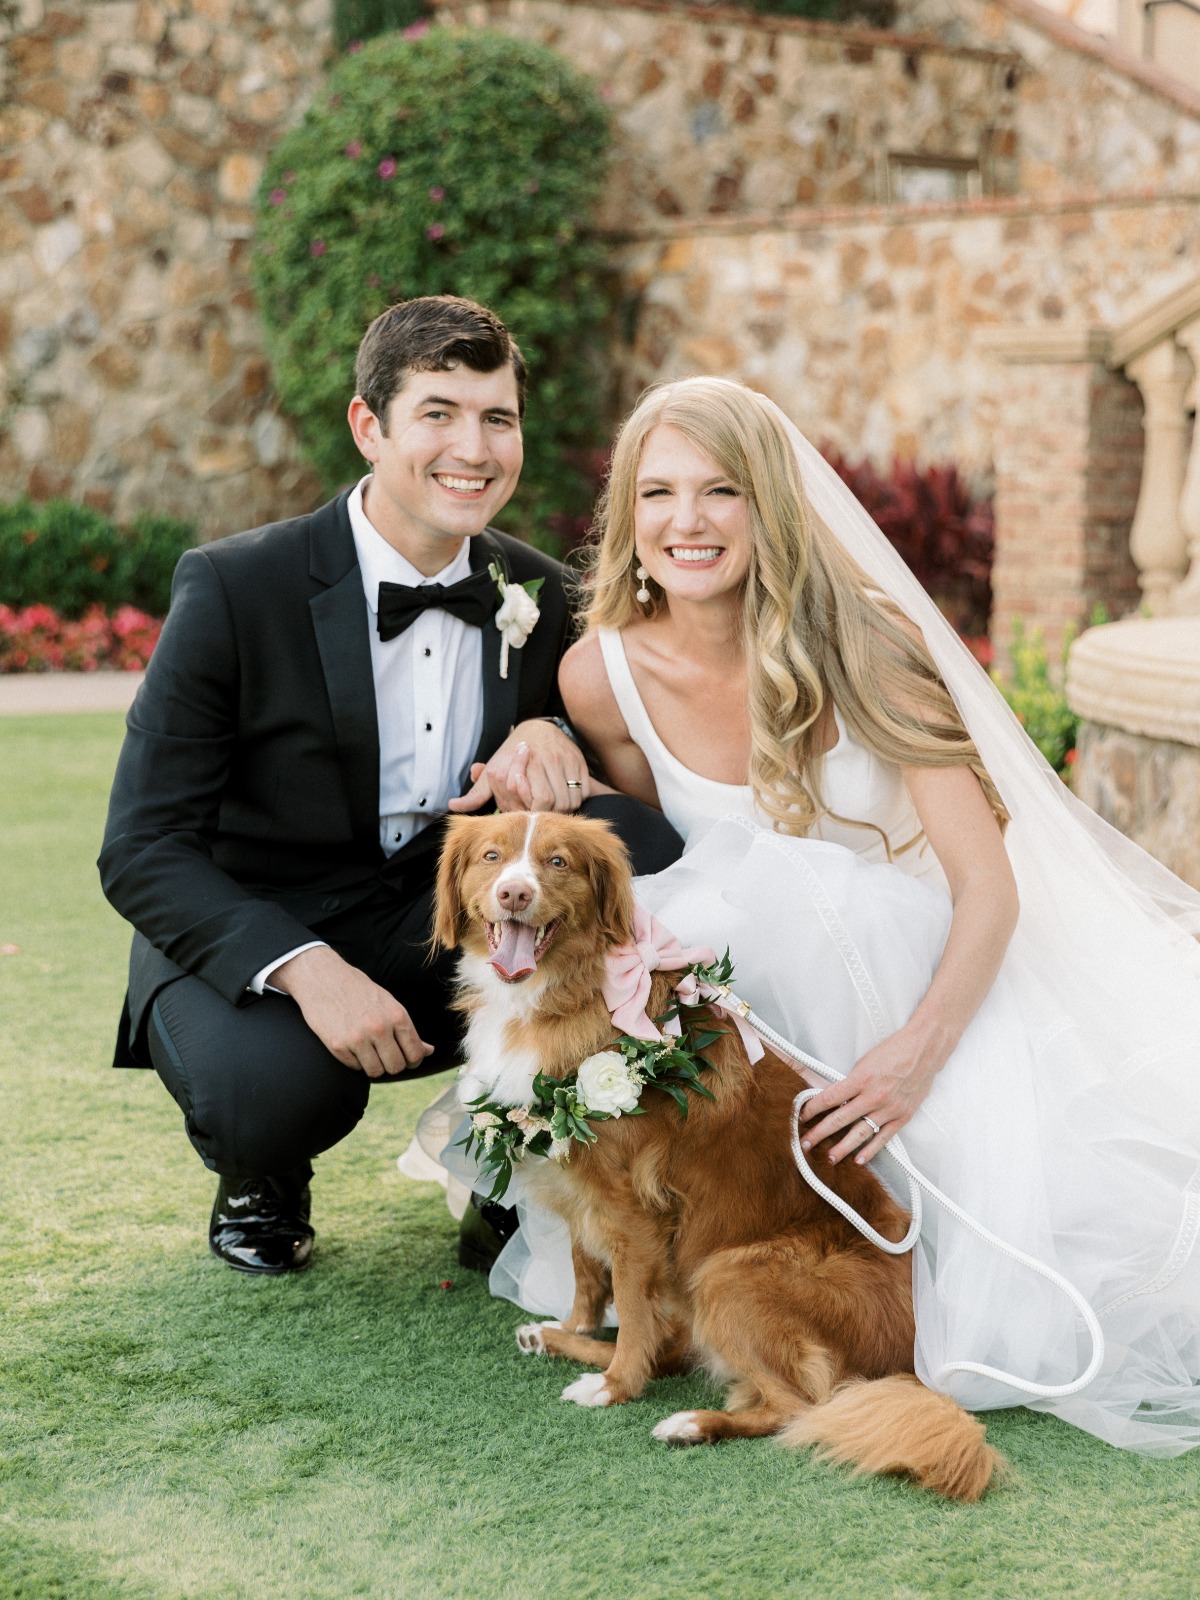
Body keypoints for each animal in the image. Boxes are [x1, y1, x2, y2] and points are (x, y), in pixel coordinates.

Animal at [438, 812, 998, 1497]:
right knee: (677, 1348)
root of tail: (915, 1365)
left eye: (558, 862)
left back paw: (690, 1423)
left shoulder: (634, 1213)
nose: (515, 893)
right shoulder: (578, 1188)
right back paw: (550, 1340)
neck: (569, 989)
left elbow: (628, 1302)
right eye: (491, 857)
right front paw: (573, 1332)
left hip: (728, 1275)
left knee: (796, 1406)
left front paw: (616, 1387)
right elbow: (588, 1278)